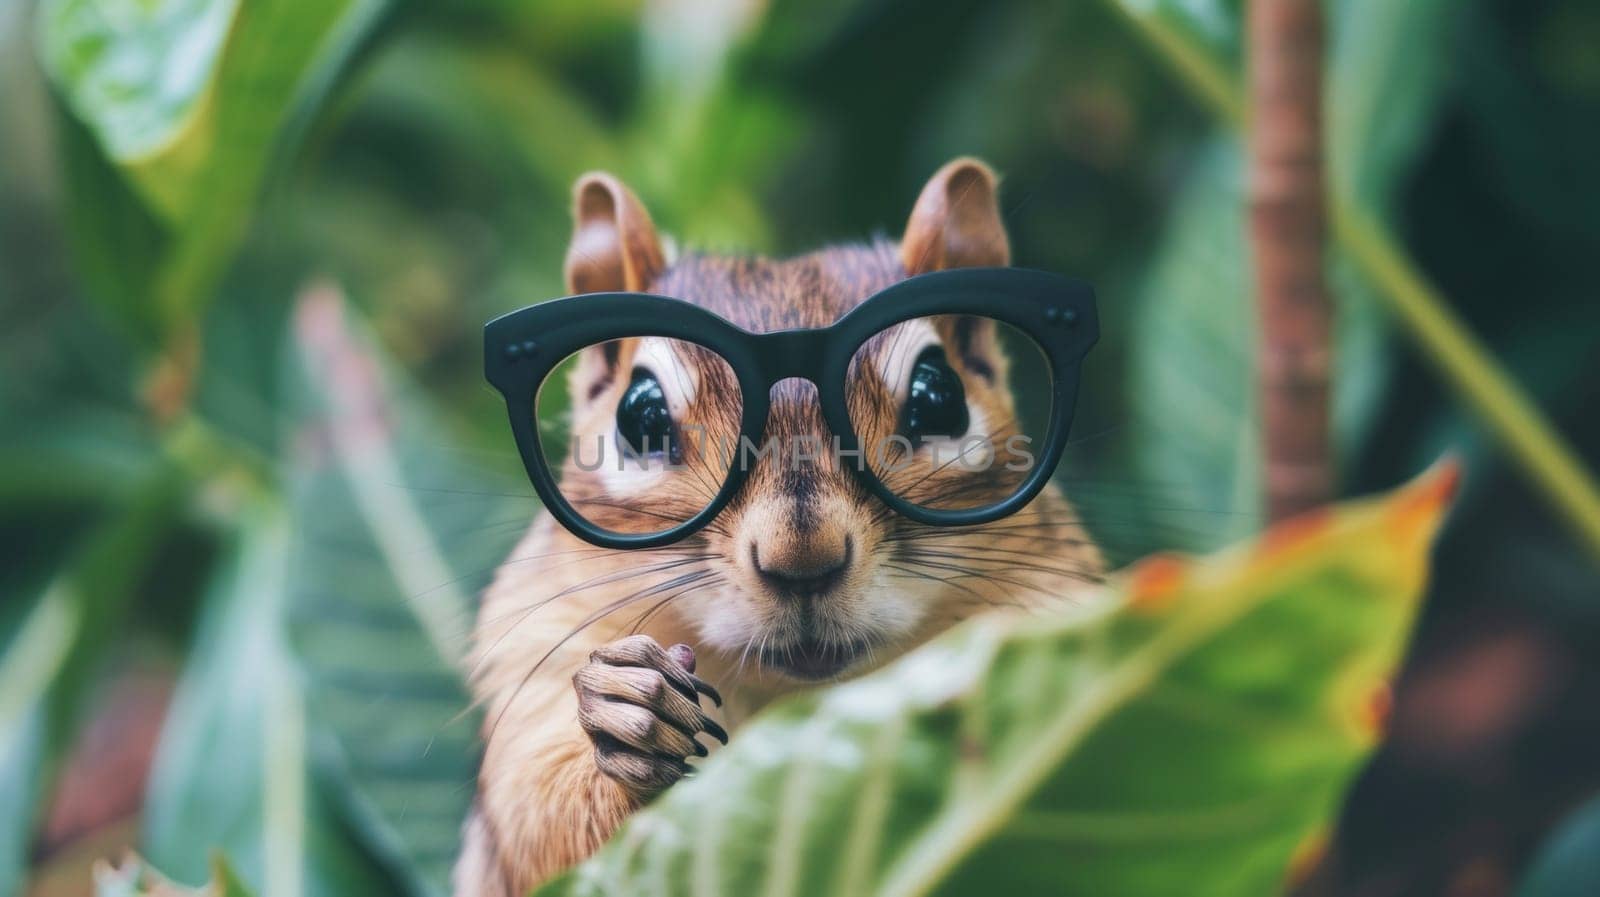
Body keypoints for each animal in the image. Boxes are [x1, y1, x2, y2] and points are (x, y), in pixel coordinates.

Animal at [448, 157, 1100, 889]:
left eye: (940, 398)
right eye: (640, 416)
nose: (803, 560)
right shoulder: (533, 663)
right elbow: (543, 828)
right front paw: (628, 712)